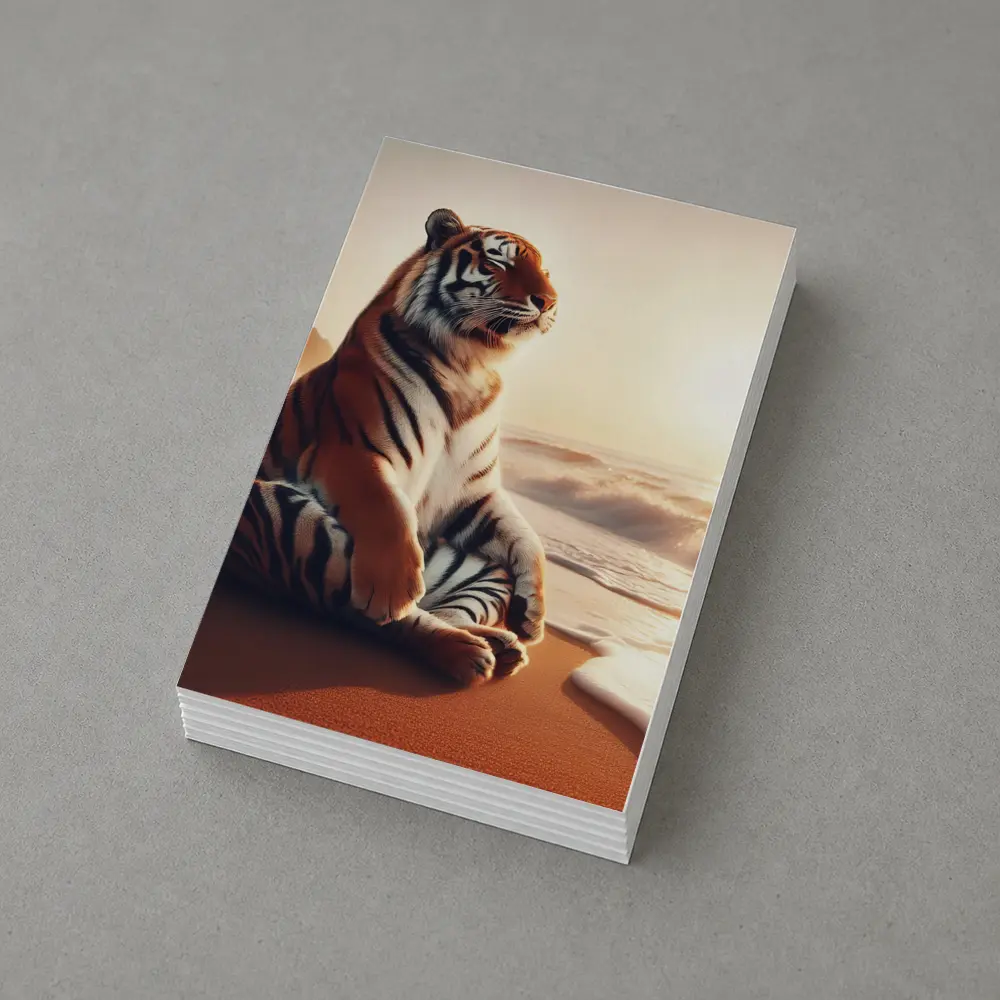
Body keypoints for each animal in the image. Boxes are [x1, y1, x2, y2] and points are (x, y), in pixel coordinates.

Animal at [222, 208, 559, 686]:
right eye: (499, 261)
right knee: (370, 616)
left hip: (479, 570)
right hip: (282, 514)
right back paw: (463, 651)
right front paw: (391, 589)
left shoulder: (472, 495)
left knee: (445, 610)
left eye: (544, 270)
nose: (549, 301)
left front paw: (534, 613)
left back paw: (499, 644)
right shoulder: (353, 450)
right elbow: (386, 506)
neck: (472, 365)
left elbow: (527, 538)